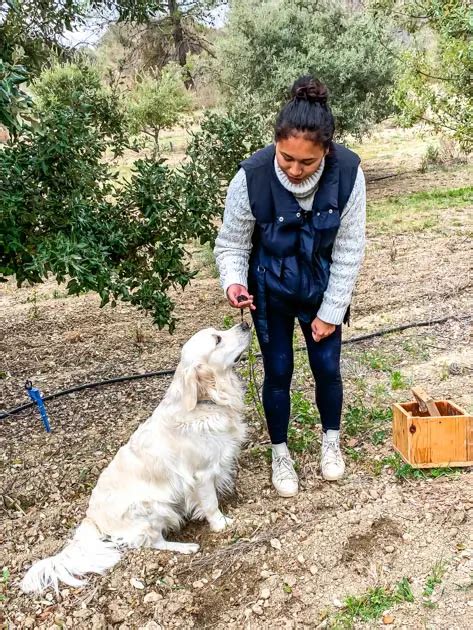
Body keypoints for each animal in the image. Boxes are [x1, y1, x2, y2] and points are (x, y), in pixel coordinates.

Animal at [20, 324, 253, 596]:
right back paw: (184, 547)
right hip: (153, 507)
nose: (245, 325)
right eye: (217, 339)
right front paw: (221, 524)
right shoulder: (202, 474)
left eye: (218, 331)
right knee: (151, 542)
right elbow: (210, 503)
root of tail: (92, 518)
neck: (206, 401)